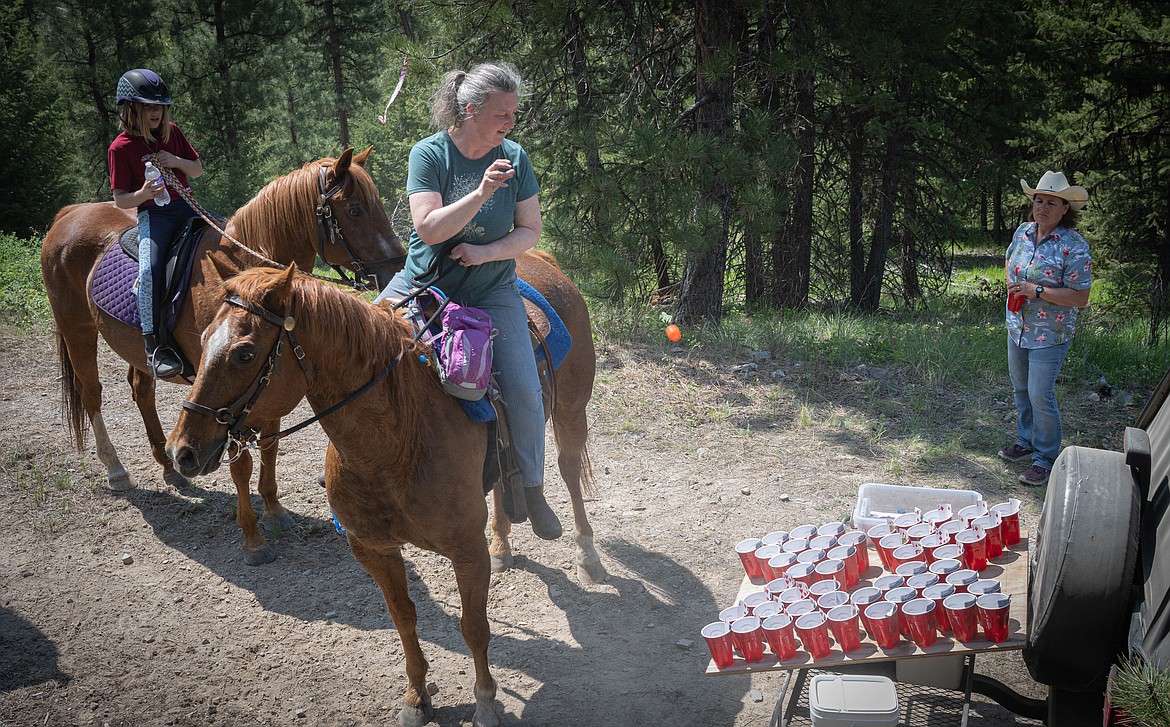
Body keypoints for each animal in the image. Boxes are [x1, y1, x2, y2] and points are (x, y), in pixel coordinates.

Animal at [40, 147, 405, 565]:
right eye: (356, 210)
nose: (397, 266)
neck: (244, 274)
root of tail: (68, 213)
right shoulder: (224, 388)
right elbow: (241, 462)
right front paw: (253, 537)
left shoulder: (270, 376)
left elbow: (270, 445)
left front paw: (274, 510)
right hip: (77, 329)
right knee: (91, 393)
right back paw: (116, 469)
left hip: (134, 348)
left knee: (141, 390)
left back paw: (168, 467)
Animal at [165, 258, 601, 726]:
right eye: (203, 339)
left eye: (245, 353)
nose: (181, 451)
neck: (396, 440)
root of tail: (543, 261)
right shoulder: (374, 549)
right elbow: (404, 618)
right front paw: (417, 697)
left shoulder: (467, 551)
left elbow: (474, 627)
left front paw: (485, 702)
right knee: (505, 481)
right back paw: (503, 545)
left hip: (570, 411)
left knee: (568, 471)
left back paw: (586, 555)